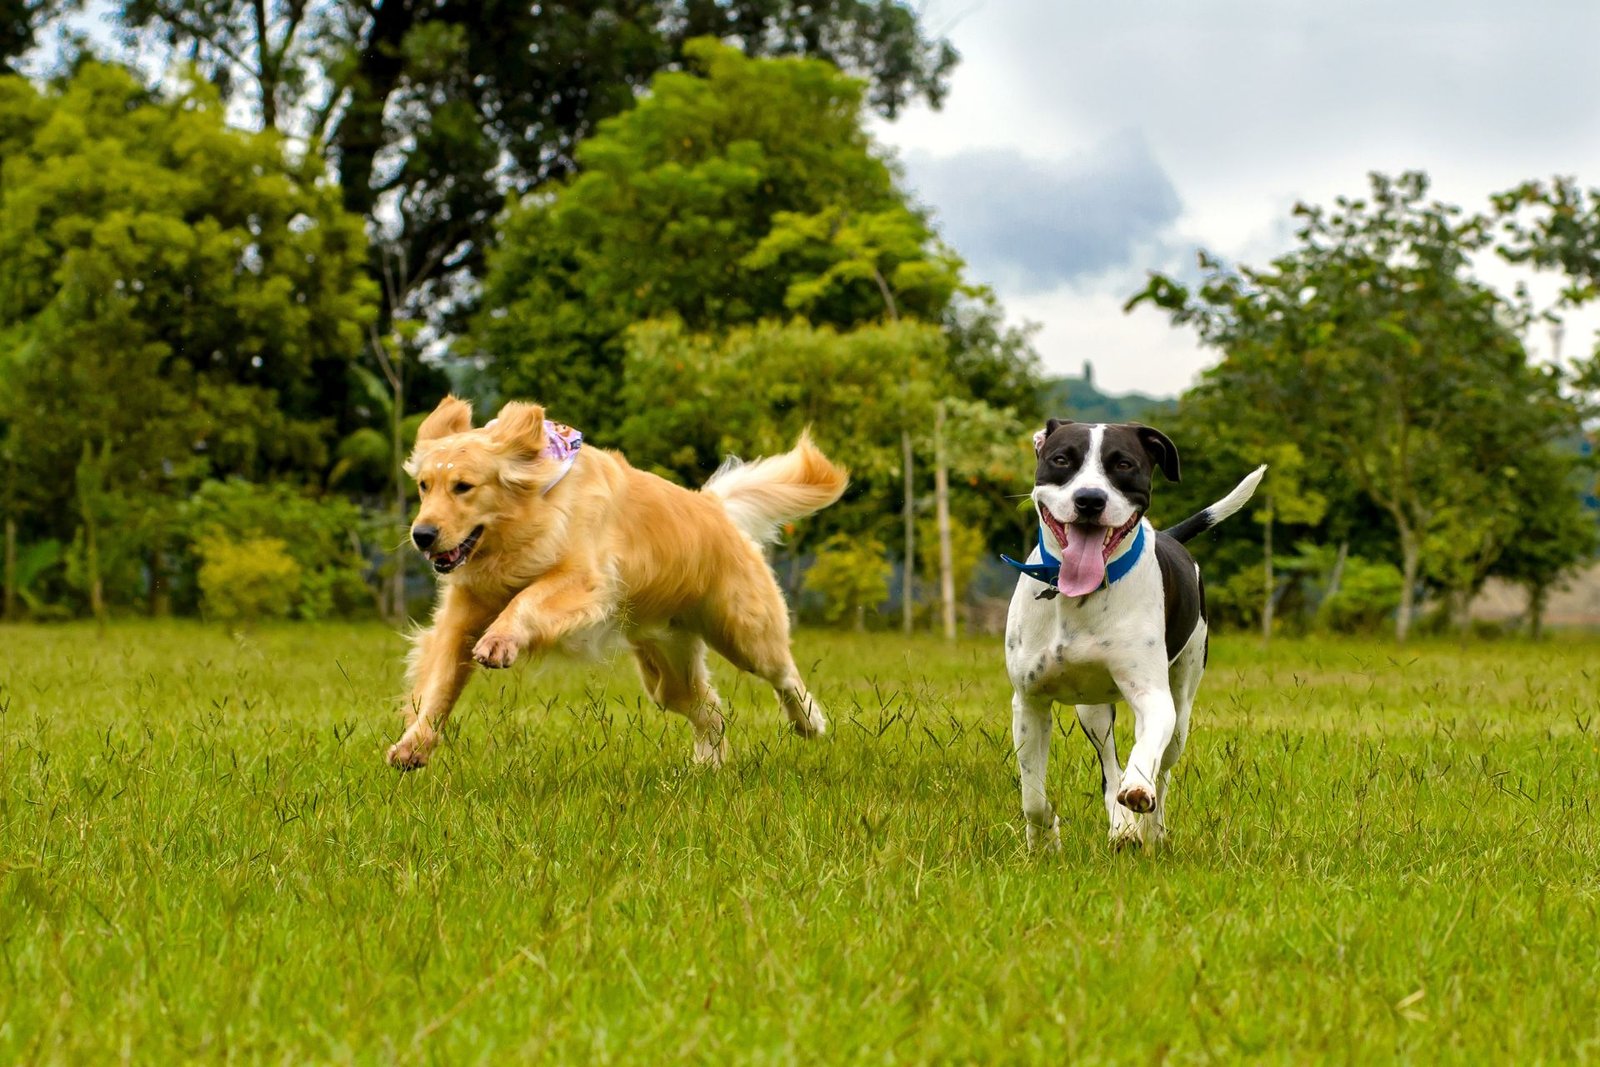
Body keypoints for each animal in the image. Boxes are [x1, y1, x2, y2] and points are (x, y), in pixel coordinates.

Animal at [387, 396, 851, 771]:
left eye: (463, 487)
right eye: (424, 486)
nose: (422, 535)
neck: (528, 518)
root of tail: (714, 506)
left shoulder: (585, 580)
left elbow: (528, 599)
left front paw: (501, 640)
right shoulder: (462, 615)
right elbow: (438, 686)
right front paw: (414, 746)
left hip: (743, 631)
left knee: (784, 674)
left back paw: (809, 723)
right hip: (666, 668)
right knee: (709, 710)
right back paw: (709, 765)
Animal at [1004, 422, 1267, 844]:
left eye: (1123, 464)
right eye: (1061, 459)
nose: (1089, 500)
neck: (1080, 597)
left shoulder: (1153, 697)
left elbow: (1145, 757)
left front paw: (1139, 791)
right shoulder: (1029, 703)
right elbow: (1034, 798)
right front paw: (1044, 840)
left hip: (1181, 709)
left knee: (1163, 767)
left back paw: (1149, 827)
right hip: (1092, 710)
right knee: (1109, 767)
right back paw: (1122, 826)